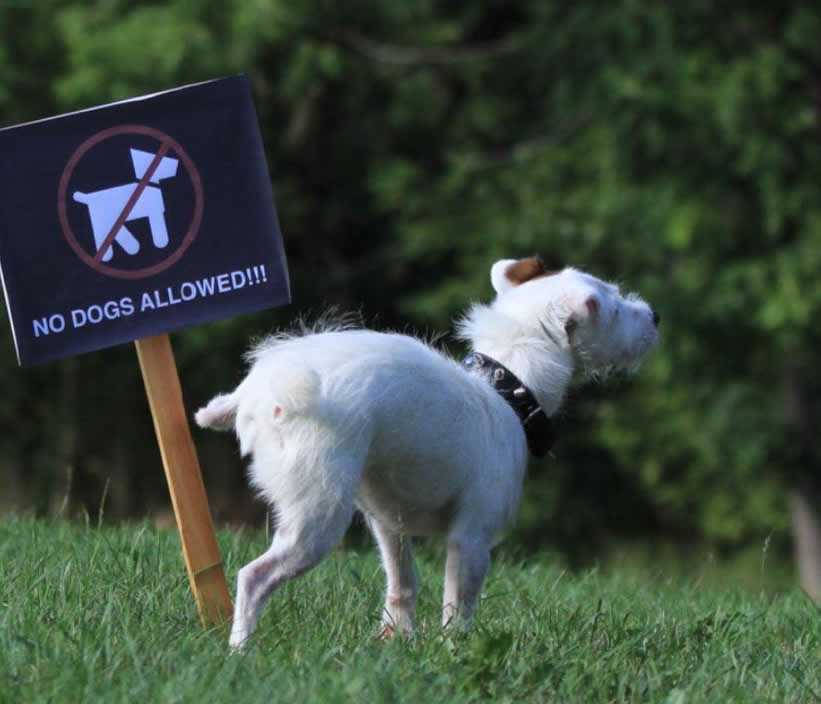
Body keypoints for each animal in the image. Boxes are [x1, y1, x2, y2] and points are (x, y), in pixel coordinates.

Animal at [195, 256, 656, 648]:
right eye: (615, 307)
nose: (654, 316)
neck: (505, 386)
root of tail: (257, 391)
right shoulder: (471, 540)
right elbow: (458, 609)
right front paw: (455, 653)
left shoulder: (388, 523)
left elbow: (403, 585)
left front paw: (398, 642)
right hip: (317, 517)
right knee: (253, 578)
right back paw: (241, 649)